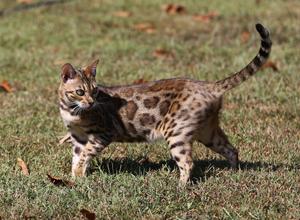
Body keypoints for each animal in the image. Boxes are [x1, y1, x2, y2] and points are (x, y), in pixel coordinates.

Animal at [58, 23, 272, 185]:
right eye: (80, 92)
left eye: (94, 91)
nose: (91, 102)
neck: (72, 112)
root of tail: (209, 85)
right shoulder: (78, 138)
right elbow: (77, 158)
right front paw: (75, 178)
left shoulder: (103, 134)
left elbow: (85, 155)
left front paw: (78, 176)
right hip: (208, 132)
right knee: (232, 150)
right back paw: (234, 173)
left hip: (176, 133)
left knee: (188, 163)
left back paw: (180, 187)